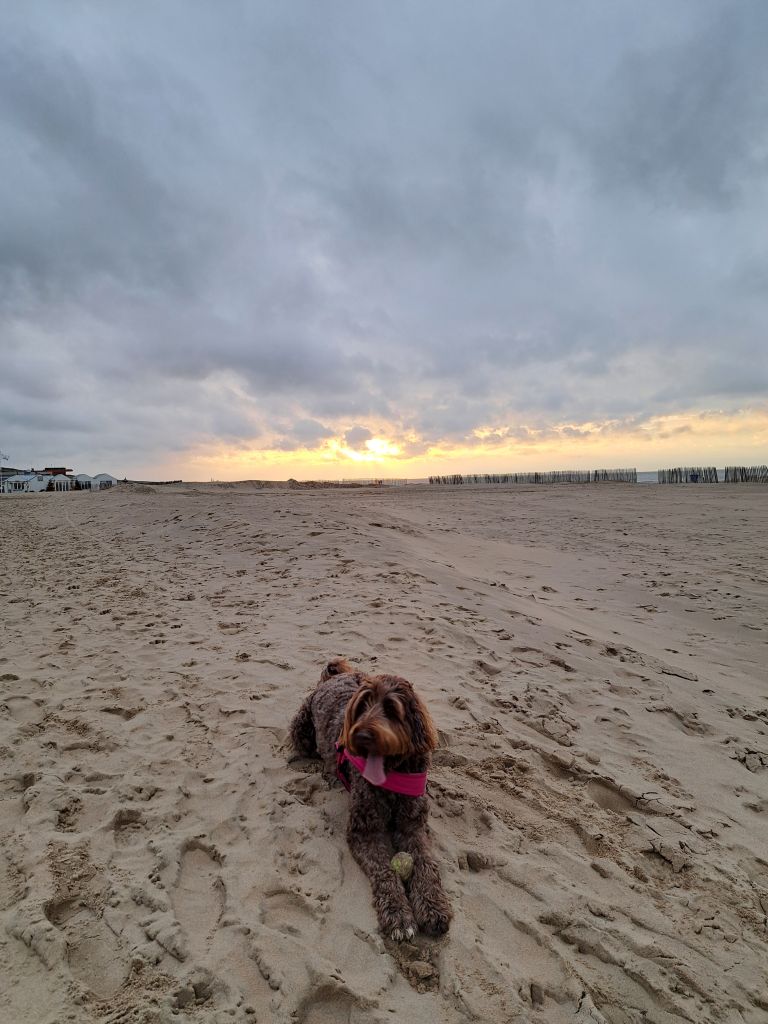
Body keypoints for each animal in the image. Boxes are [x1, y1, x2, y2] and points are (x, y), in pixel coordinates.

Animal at [289, 658, 452, 941]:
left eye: (391, 708)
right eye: (361, 706)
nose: (361, 736)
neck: (391, 773)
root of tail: (335, 676)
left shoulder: (413, 826)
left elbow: (425, 862)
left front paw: (433, 906)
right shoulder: (365, 832)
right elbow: (384, 870)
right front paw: (399, 915)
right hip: (301, 731)